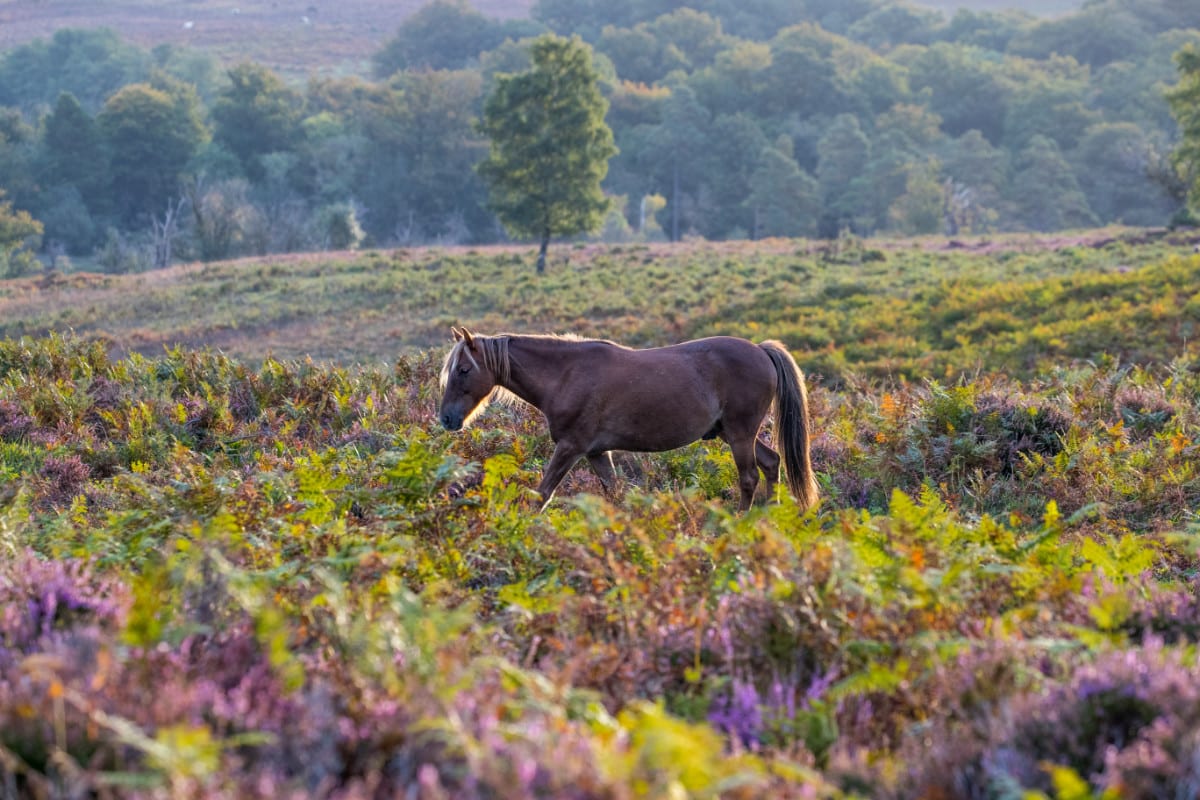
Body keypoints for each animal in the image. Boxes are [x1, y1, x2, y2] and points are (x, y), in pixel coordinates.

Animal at [436, 326, 820, 510]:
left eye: (464, 370)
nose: (447, 419)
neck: (566, 374)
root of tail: (761, 351)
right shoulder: (595, 453)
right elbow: (614, 492)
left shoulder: (571, 448)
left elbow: (542, 493)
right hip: (733, 433)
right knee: (772, 463)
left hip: (740, 434)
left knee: (749, 478)